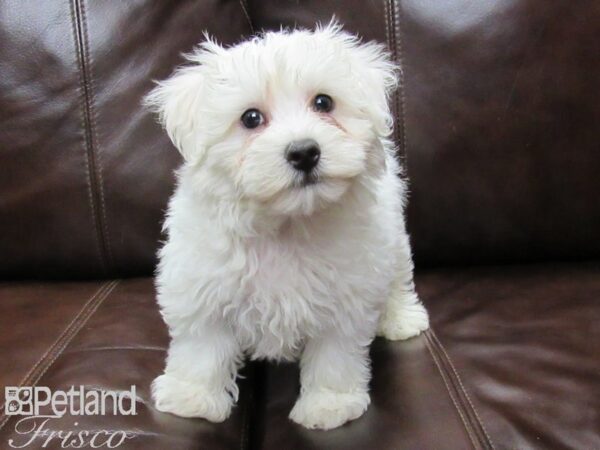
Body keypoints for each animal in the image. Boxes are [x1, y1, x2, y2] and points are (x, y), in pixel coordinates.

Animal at [144, 22, 426, 430]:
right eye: (250, 118)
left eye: (323, 103)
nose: (304, 151)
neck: (285, 224)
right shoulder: (202, 283)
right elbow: (202, 345)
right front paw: (192, 397)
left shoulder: (347, 293)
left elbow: (335, 355)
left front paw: (329, 405)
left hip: (393, 237)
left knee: (399, 277)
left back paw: (402, 318)